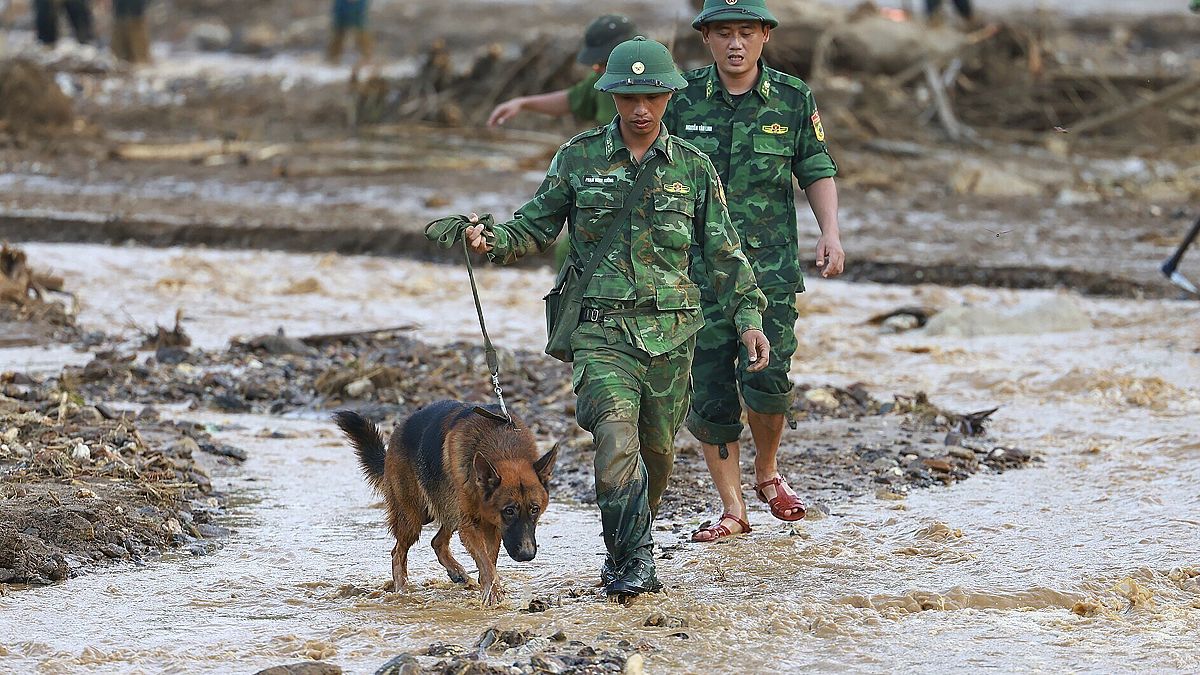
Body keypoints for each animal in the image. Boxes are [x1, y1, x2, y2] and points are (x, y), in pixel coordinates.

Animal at [333, 398, 556, 605]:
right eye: (509, 511)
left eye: (535, 509)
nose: (527, 554)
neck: (504, 450)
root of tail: (398, 432)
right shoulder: (471, 526)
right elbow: (485, 562)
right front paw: (492, 594)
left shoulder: (491, 527)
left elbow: (489, 561)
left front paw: (489, 588)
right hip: (414, 518)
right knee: (398, 552)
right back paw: (402, 591)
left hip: (447, 510)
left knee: (437, 541)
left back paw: (455, 572)